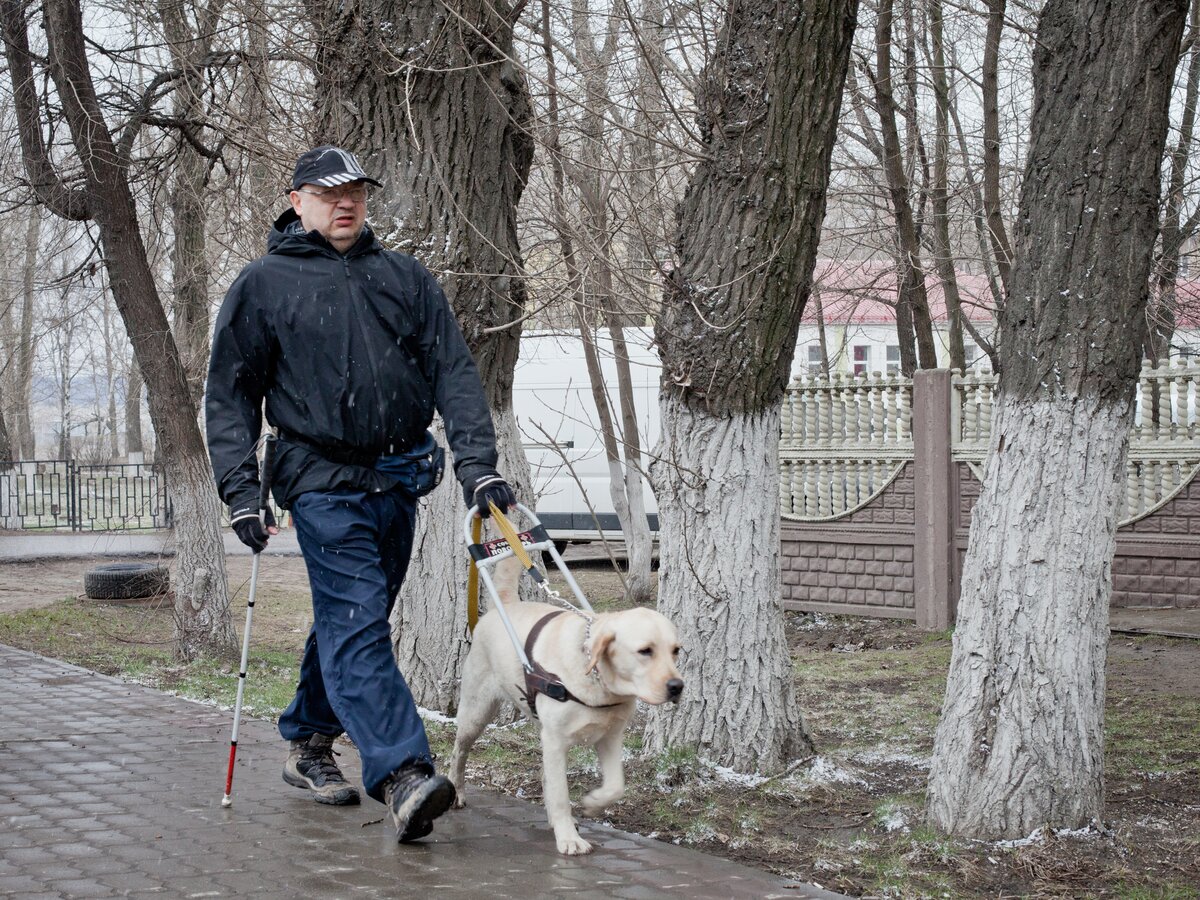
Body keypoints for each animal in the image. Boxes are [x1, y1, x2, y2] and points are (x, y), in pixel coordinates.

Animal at [448, 556, 681, 859]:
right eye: (645, 651)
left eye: (676, 650)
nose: (677, 686)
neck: (597, 681)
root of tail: (506, 604)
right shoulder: (556, 740)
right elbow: (561, 795)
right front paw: (569, 839)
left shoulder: (609, 738)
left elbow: (615, 786)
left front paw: (593, 803)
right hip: (476, 713)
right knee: (459, 753)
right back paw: (456, 790)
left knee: (546, 775)